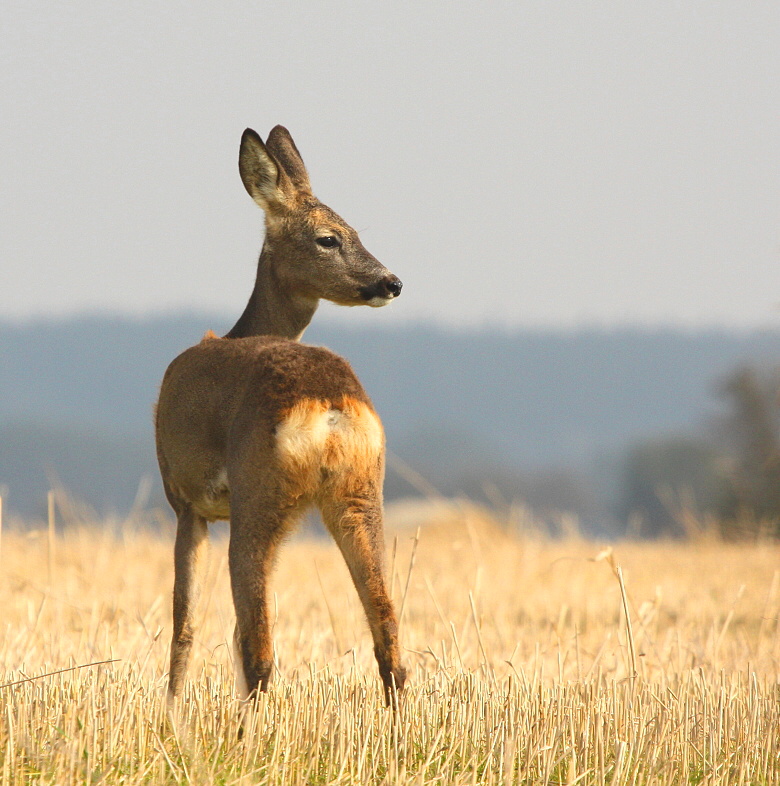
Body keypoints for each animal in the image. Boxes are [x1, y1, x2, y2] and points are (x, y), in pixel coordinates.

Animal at [155, 126, 407, 714]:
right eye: (329, 238)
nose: (391, 282)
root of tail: (329, 410)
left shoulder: (184, 500)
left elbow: (185, 622)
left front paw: (170, 711)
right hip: (362, 492)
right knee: (388, 636)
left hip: (258, 494)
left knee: (259, 649)